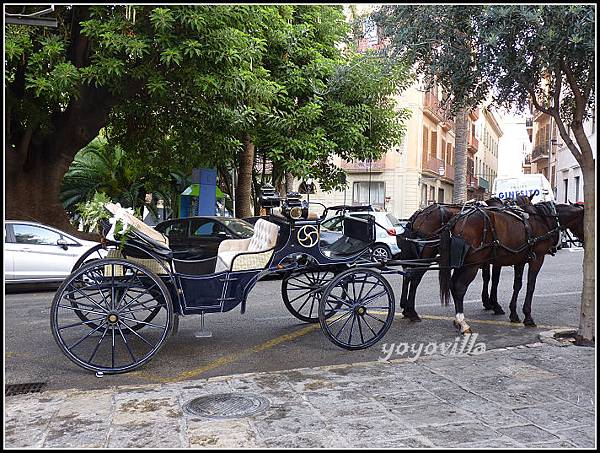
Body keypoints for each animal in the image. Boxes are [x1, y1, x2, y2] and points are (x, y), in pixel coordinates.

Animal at [438, 201, 584, 332]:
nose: (584, 241)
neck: (543, 219)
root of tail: (458, 218)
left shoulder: (520, 260)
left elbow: (517, 285)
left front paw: (514, 313)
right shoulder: (537, 259)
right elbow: (530, 286)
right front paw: (528, 316)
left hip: (462, 264)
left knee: (453, 284)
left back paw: (458, 321)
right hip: (472, 264)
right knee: (460, 287)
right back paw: (462, 322)